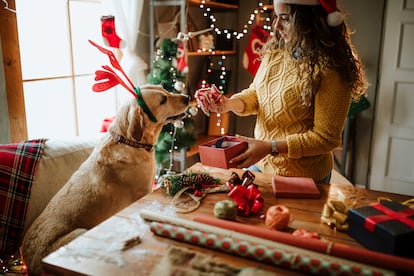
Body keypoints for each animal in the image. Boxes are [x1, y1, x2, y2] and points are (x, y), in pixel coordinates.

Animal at [21, 84, 190, 274]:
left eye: (165, 89)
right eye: (163, 100)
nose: (187, 97)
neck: (129, 141)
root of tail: (28, 263)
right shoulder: (144, 192)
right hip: (80, 232)